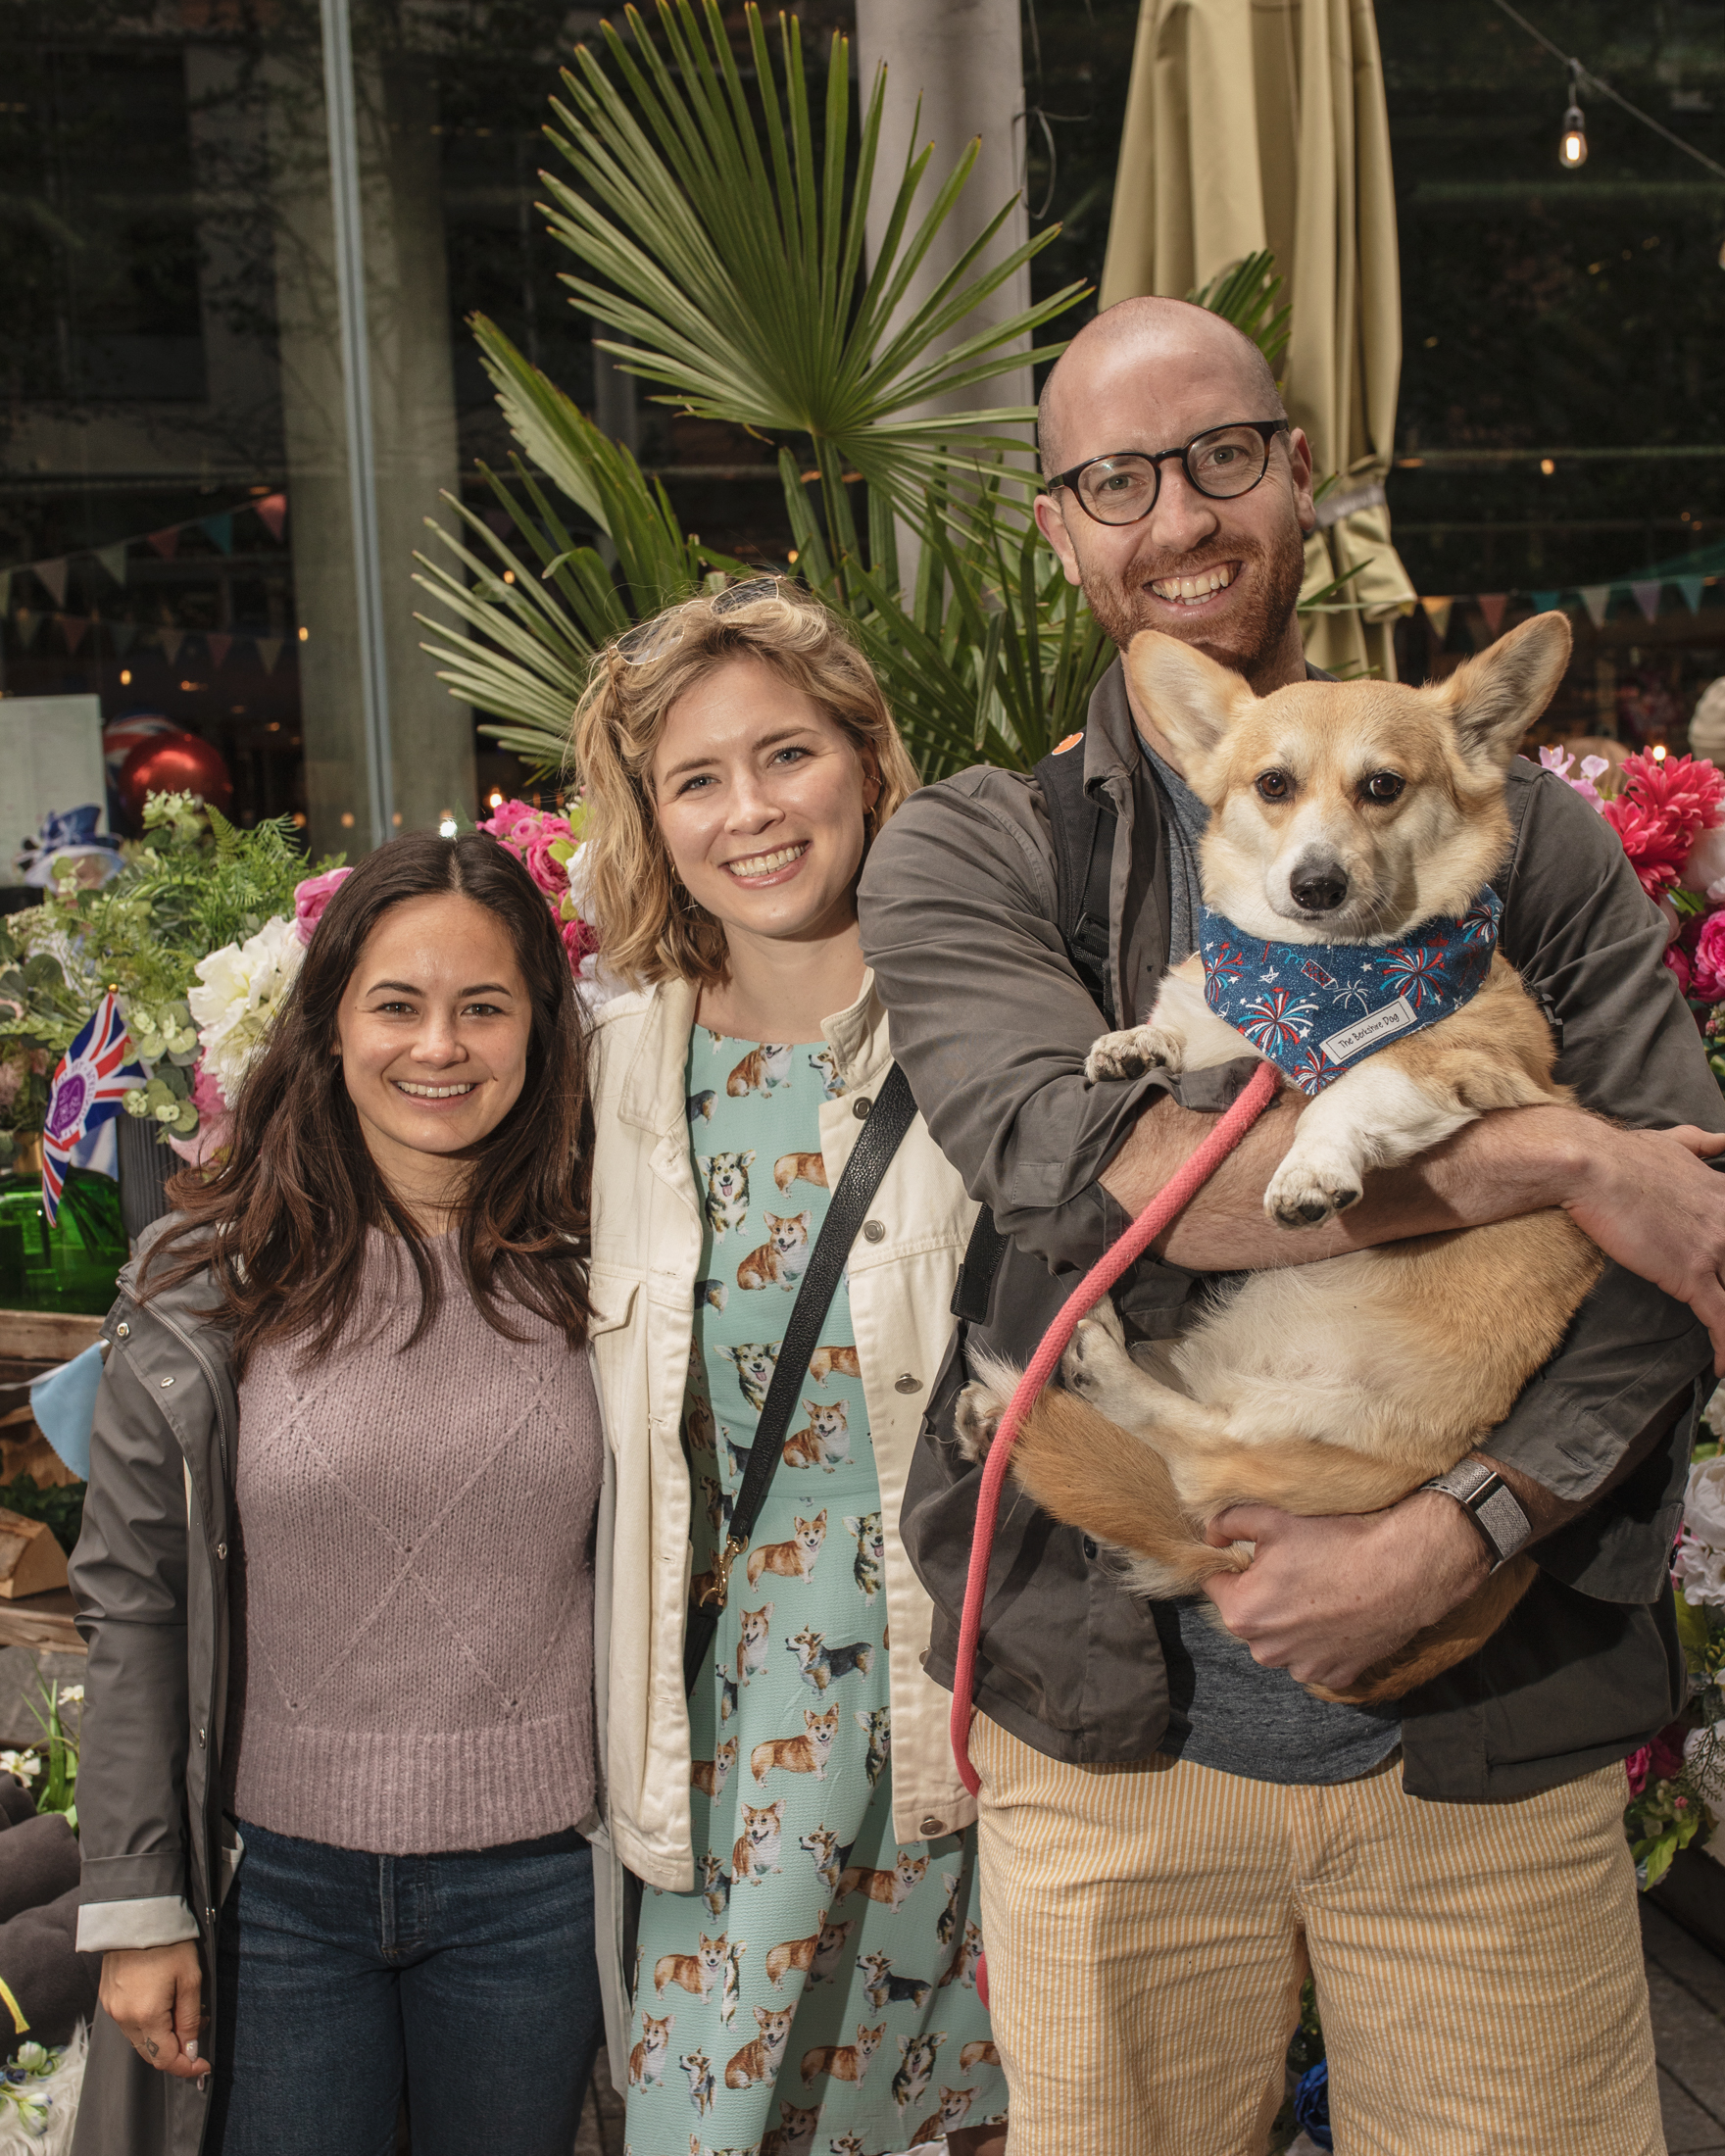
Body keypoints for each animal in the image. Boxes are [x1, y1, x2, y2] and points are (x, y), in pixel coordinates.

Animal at [957, 616, 1603, 1707]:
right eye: (1271, 784)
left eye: (1383, 786)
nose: (1315, 886)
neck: (1312, 981)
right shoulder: (1240, 1028)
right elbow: (1194, 1033)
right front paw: (1137, 1046)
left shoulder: (1469, 1064)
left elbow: (1355, 1087)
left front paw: (1310, 1169)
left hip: (1309, 1421)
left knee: (1194, 1452)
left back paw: (1086, 1375)